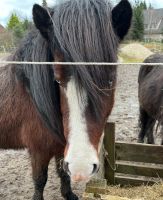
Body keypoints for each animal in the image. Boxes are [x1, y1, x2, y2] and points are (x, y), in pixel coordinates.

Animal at [0, 0, 132, 198]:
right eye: (57, 80)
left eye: (110, 80)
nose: (81, 168)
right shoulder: (38, 151)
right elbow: (40, 180)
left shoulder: (61, 146)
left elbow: (63, 172)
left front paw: (69, 194)